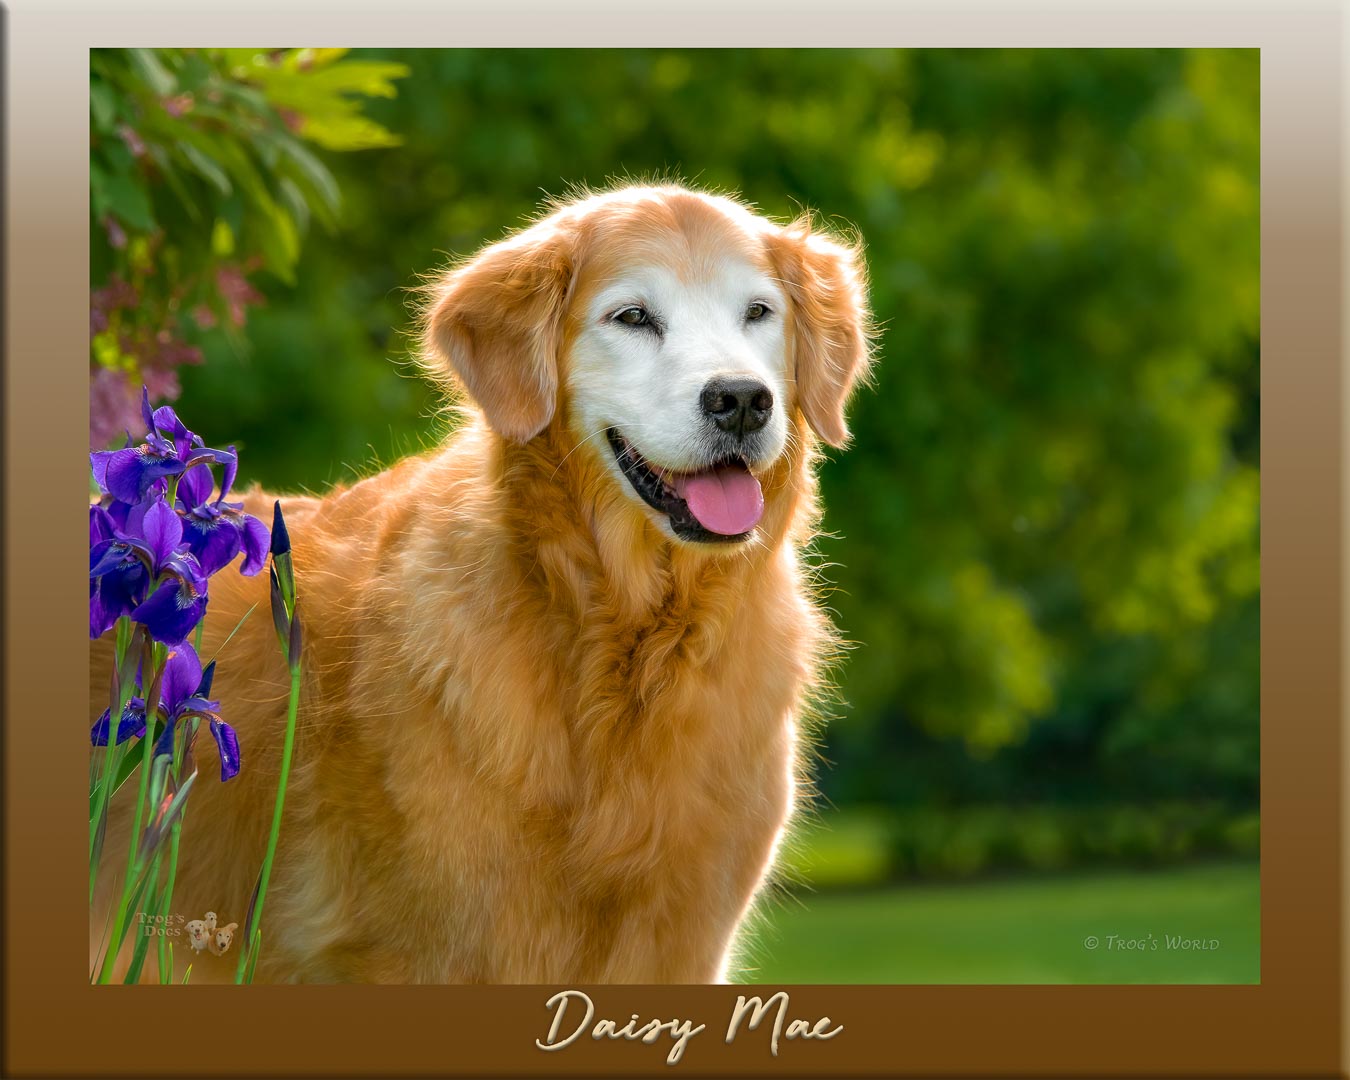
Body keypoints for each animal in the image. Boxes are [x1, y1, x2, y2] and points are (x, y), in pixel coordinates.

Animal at [95, 186, 874, 988]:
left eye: (758, 312)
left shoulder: (683, 947)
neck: (620, 637)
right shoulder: (430, 953)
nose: (742, 400)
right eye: (632, 317)